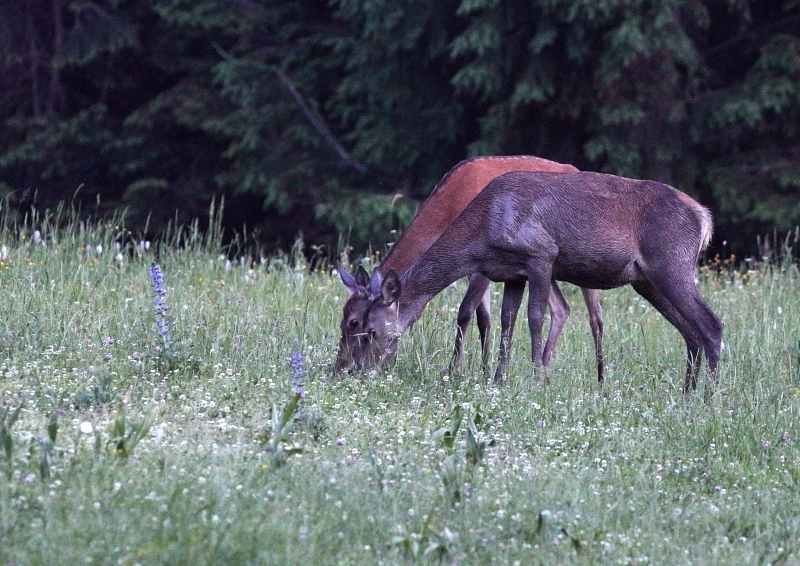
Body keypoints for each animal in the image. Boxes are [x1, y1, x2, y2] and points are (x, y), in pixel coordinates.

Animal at [334, 154, 604, 382]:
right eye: (342, 319)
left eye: (355, 322)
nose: (341, 367)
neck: (451, 209)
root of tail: (573, 168)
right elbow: (484, 318)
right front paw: (484, 369)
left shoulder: (483, 263)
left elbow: (465, 311)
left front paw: (455, 369)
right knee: (561, 308)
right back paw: (545, 370)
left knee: (596, 316)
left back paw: (599, 379)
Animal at [356, 171, 724, 398]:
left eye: (368, 329)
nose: (356, 371)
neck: (482, 236)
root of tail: (705, 218)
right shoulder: (512, 273)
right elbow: (507, 320)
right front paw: (499, 378)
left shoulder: (541, 254)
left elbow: (535, 317)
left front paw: (534, 378)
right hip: (647, 280)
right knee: (690, 331)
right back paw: (687, 393)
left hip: (671, 264)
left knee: (711, 324)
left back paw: (708, 397)